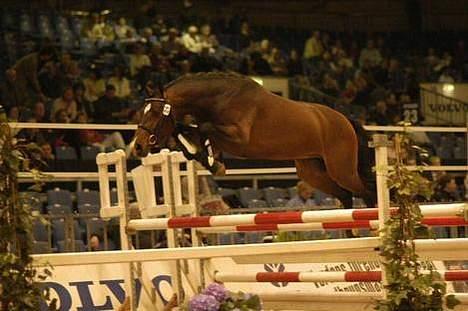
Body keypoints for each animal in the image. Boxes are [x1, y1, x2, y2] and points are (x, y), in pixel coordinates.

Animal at [133, 72, 376, 210]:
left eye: (155, 112)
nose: (137, 147)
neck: (221, 98)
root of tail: (345, 119)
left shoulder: (239, 139)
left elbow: (203, 128)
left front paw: (213, 161)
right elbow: (187, 131)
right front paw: (208, 159)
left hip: (341, 169)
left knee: (366, 192)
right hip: (313, 171)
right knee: (346, 196)